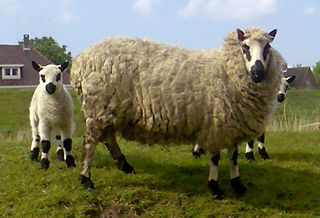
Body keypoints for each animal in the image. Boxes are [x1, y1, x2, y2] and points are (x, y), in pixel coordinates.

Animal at [71, 27, 284, 199]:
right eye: (245, 47)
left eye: (268, 48)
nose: (258, 73)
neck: (226, 70)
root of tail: (80, 62)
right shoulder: (216, 124)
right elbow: (215, 158)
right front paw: (215, 188)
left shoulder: (231, 124)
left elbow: (233, 156)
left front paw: (237, 184)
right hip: (98, 105)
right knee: (90, 142)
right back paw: (86, 179)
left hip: (109, 108)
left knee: (108, 137)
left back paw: (124, 165)